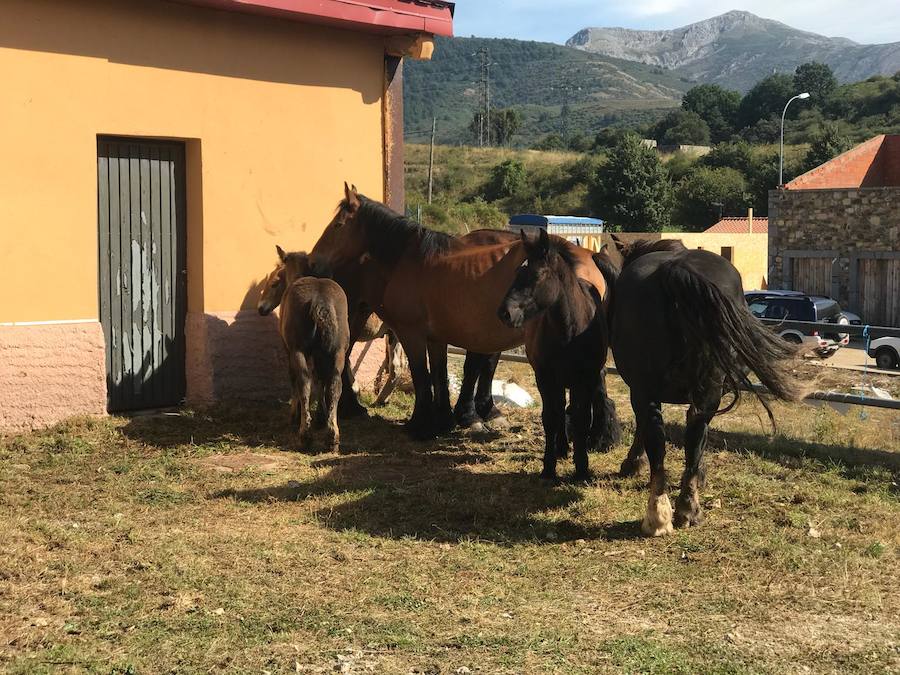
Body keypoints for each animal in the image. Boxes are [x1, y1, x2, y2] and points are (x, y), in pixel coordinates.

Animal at [268, 248, 348, 454]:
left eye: (277, 279)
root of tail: (320, 300)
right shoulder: (321, 353)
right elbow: (321, 381)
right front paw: (321, 417)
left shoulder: (289, 350)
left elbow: (297, 380)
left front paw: (295, 415)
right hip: (338, 352)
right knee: (334, 384)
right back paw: (332, 436)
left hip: (299, 351)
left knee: (304, 381)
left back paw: (305, 435)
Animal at [312, 184, 620, 444]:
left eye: (337, 225)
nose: (315, 259)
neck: (409, 260)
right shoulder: (436, 337)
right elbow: (439, 374)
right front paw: (444, 421)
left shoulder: (413, 334)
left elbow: (424, 374)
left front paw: (422, 425)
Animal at [604, 238, 800, 540]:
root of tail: (674, 270)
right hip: (693, 390)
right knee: (687, 434)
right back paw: (681, 511)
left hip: (650, 392)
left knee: (663, 436)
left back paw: (665, 513)